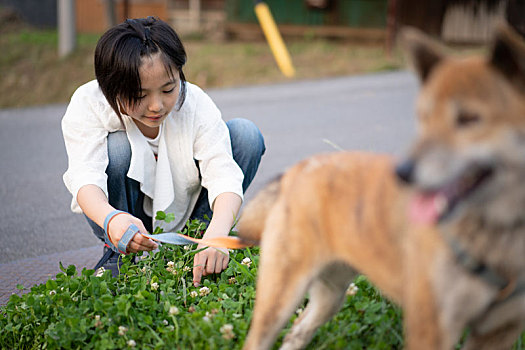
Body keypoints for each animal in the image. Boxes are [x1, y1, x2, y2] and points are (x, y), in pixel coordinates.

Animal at [239, 25, 524, 350]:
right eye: (423, 117)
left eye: (469, 118)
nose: (404, 173)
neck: (499, 235)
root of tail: (297, 170)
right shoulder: (431, 329)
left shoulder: (499, 331)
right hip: (281, 299)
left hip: (330, 296)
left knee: (297, 332)